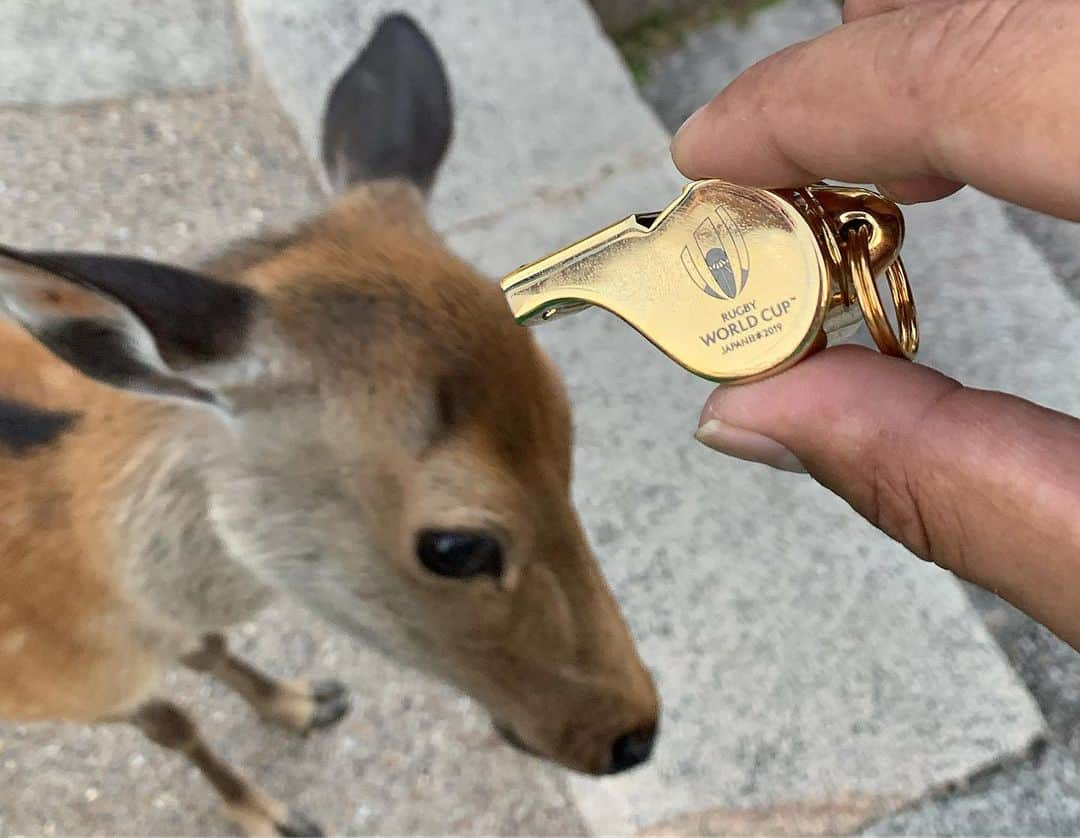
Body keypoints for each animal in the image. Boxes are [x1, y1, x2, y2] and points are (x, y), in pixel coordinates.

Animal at [0, 14, 656, 838]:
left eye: (567, 429)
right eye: (456, 546)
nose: (634, 733)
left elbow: (210, 650)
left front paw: (303, 703)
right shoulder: (68, 689)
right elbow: (176, 725)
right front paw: (273, 816)